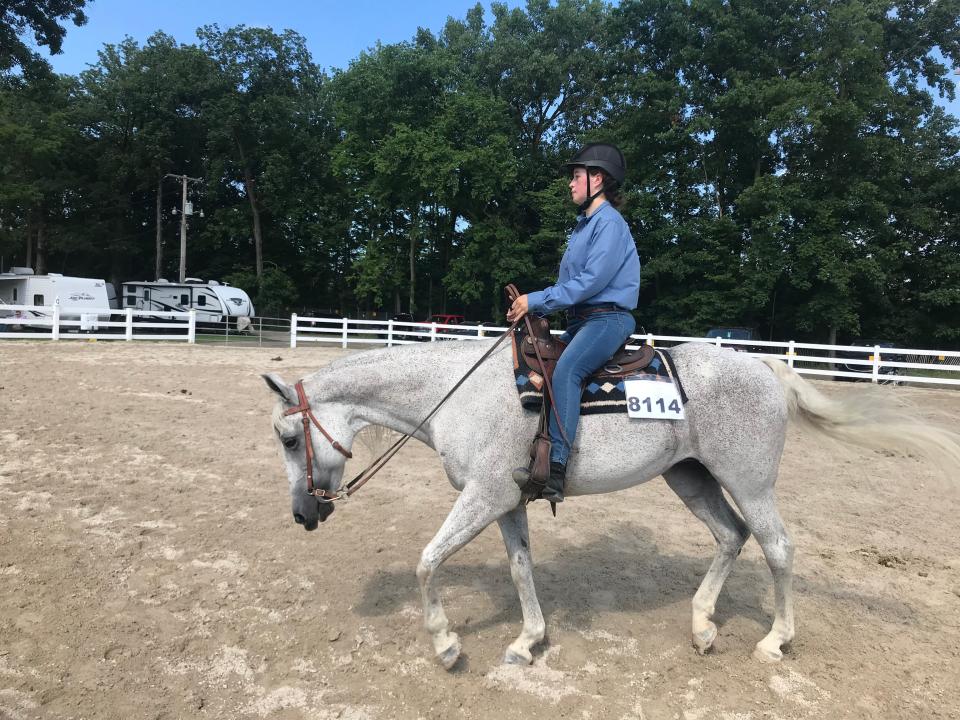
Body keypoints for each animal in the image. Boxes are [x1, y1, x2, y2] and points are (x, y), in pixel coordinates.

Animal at [262, 342, 960, 668]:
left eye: (289, 438)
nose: (302, 515)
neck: (456, 393)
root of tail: (767, 369)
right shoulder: (507, 500)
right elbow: (520, 569)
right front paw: (527, 642)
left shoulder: (485, 495)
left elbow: (427, 561)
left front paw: (446, 645)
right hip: (690, 479)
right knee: (731, 537)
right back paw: (703, 626)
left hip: (750, 481)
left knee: (777, 547)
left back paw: (774, 642)